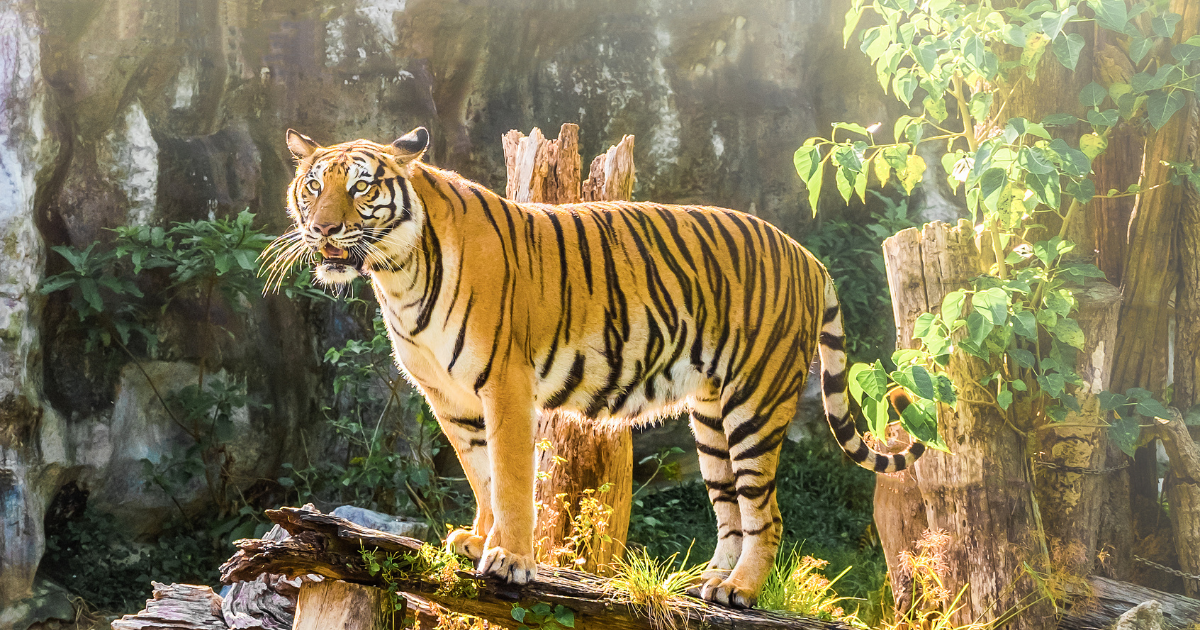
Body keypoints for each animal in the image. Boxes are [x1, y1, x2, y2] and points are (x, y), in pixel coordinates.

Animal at [268, 126, 926, 608]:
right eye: (312, 186)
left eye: (360, 189)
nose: (323, 228)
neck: (398, 273)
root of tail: (806, 254)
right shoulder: (448, 396)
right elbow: (480, 473)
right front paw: (476, 540)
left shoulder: (504, 384)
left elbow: (511, 478)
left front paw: (510, 559)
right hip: (711, 414)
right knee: (730, 509)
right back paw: (710, 583)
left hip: (755, 401)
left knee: (766, 512)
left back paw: (740, 590)